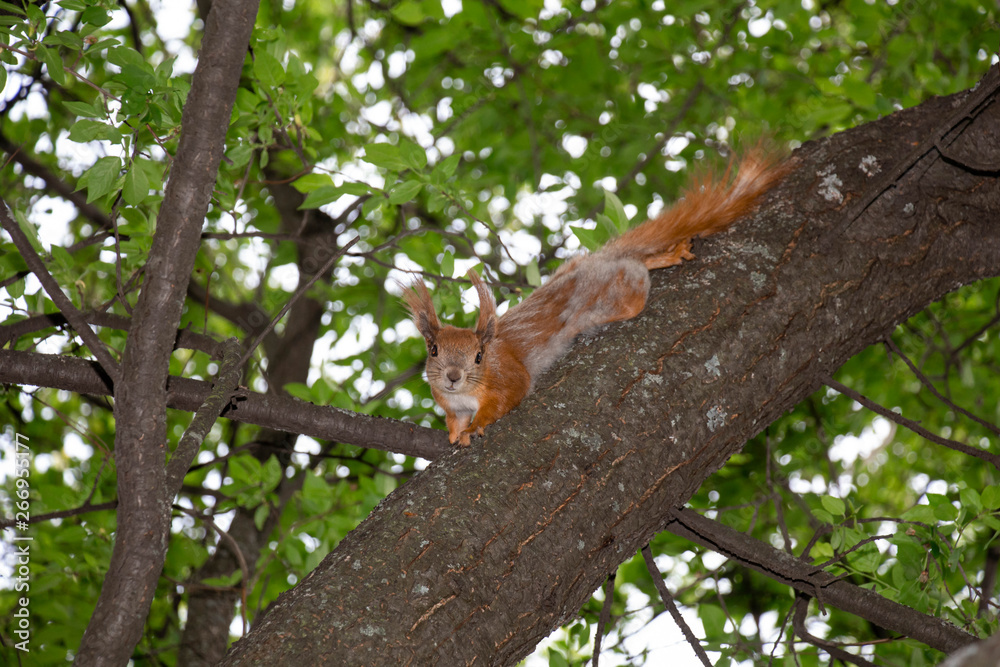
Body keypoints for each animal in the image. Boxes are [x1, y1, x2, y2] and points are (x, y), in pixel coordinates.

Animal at [402, 151, 784, 444]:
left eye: (479, 356)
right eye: (433, 350)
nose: (453, 376)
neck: (464, 395)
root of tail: (597, 260)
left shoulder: (507, 377)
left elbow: (506, 399)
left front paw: (476, 428)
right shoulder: (449, 405)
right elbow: (453, 420)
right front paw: (455, 433)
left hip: (619, 296)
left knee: (635, 270)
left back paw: (661, 258)